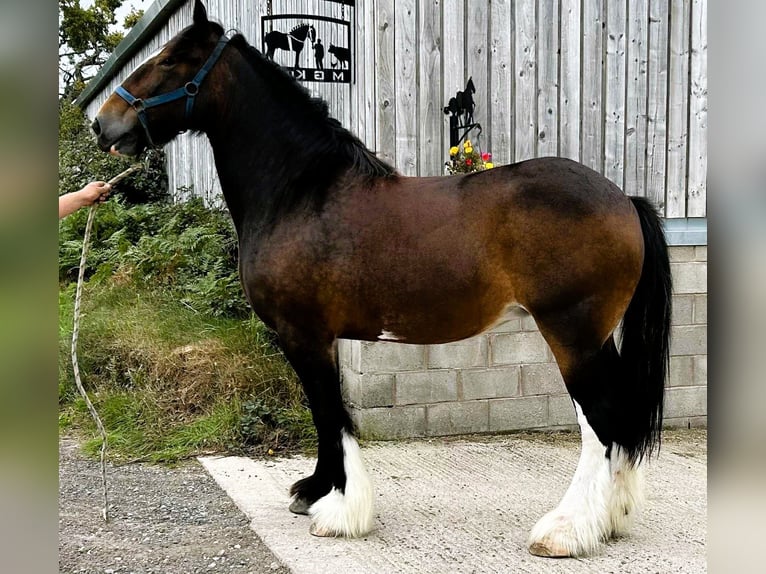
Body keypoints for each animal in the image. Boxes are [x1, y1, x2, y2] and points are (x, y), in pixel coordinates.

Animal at [92, 0, 672, 558]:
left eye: (170, 61)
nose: (102, 123)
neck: (302, 193)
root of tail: (623, 199)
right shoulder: (319, 337)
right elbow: (324, 413)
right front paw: (314, 490)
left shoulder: (303, 334)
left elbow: (329, 412)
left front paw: (339, 510)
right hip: (596, 339)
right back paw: (612, 517)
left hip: (571, 335)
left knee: (600, 424)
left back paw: (566, 531)